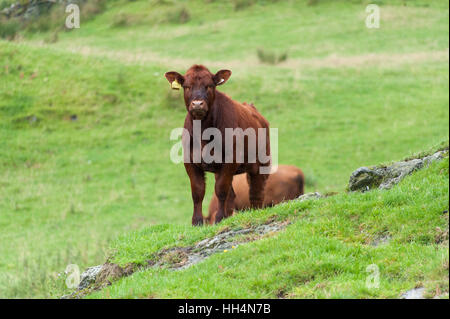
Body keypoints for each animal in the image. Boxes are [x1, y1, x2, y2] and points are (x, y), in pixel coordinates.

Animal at [165, 65, 270, 226]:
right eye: (187, 86)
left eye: (209, 85)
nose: (197, 104)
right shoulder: (190, 162)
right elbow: (198, 191)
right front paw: (197, 222)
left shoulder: (230, 160)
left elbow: (220, 190)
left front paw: (219, 218)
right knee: (233, 194)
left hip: (261, 164)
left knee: (256, 192)